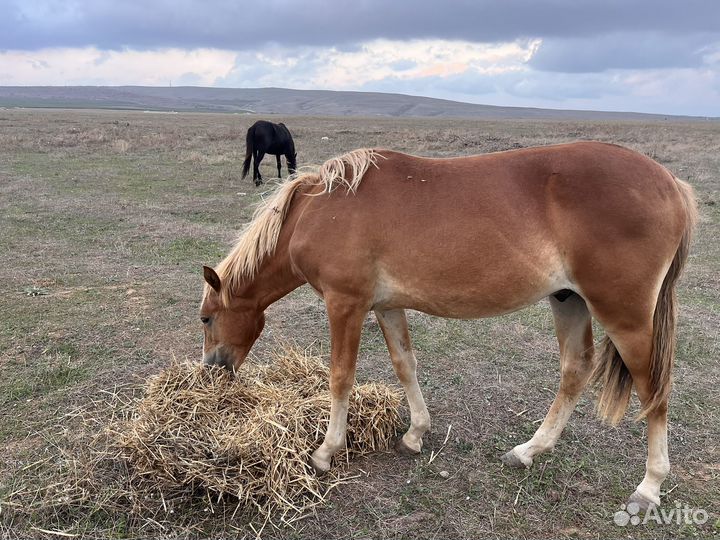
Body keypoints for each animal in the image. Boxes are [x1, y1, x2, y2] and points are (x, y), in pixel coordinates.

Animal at [200, 142, 697, 510]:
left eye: (206, 318)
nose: (212, 370)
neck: (319, 210)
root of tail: (670, 183)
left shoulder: (346, 305)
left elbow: (340, 377)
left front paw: (326, 451)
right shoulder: (385, 307)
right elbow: (405, 364)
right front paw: (415, 433)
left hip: (626, 318)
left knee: (653, 389)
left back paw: (649, 486)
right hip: (568, 300)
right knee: (576, 370)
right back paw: (529, 450)